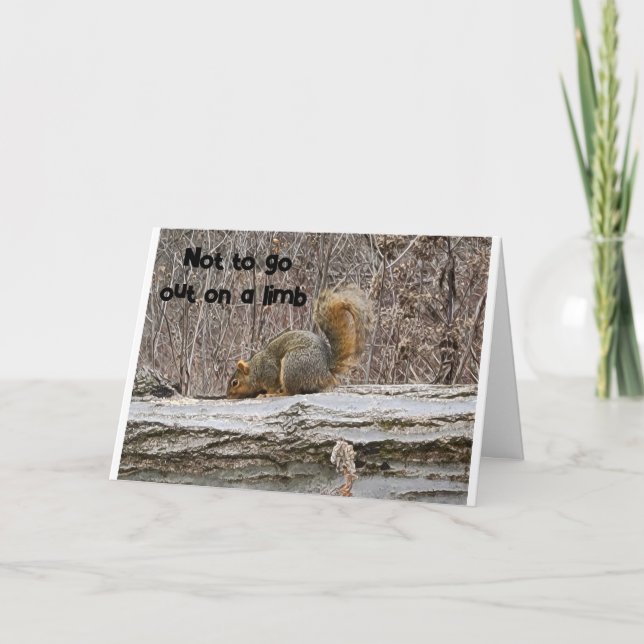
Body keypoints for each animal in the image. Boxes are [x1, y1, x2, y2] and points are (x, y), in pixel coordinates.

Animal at [226, 287, 374, 399]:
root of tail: (325, 369)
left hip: (293, 364)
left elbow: (272, 385)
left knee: (291, 392)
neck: (255, 369)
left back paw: (277, 394)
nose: (228, 395)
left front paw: (266, 393)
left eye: (235, 382)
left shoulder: (269, 371)